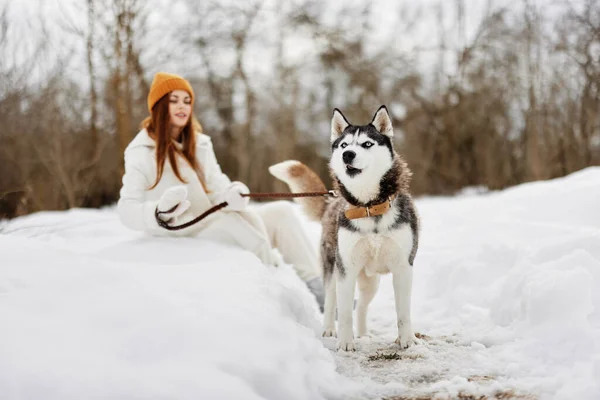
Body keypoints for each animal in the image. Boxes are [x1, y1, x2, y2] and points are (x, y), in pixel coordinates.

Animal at [270, 105, 420, 350]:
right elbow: (345, 312)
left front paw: (406, 339)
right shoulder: (346, 269)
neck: (369, 207)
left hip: (371, 281)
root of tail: (332, 202)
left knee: (361, 307)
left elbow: (403, 312)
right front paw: (346, 343)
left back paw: (364, 334)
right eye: (343, 145)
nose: (347, 154)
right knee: (332, 301)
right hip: (333, 269)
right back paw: (330, 330)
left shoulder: (403, 267)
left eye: (367, 144)